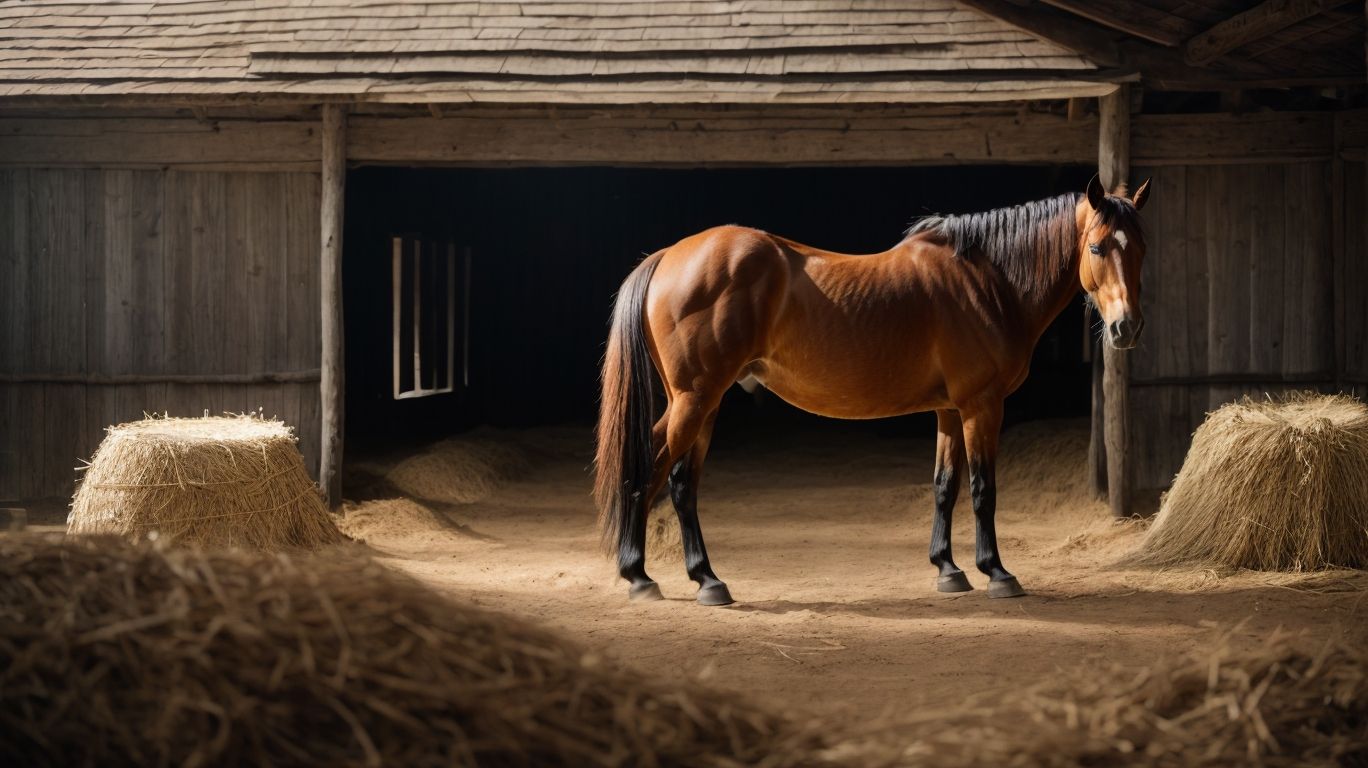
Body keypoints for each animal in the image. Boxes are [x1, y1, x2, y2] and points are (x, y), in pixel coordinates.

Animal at [594, 176, 1150, 606]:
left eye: (1141, 250)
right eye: (1098, 247)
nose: (1126, 328)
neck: (989, 282)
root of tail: (669, 255)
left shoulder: (950, 411)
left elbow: (945, 485)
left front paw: (948, 570)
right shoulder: (981, 406)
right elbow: (982, 489)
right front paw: (996, 572)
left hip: (701, 405)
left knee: (674, 479)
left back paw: (681, 577)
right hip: (694, 400)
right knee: (657, 473)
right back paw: (658, 578)